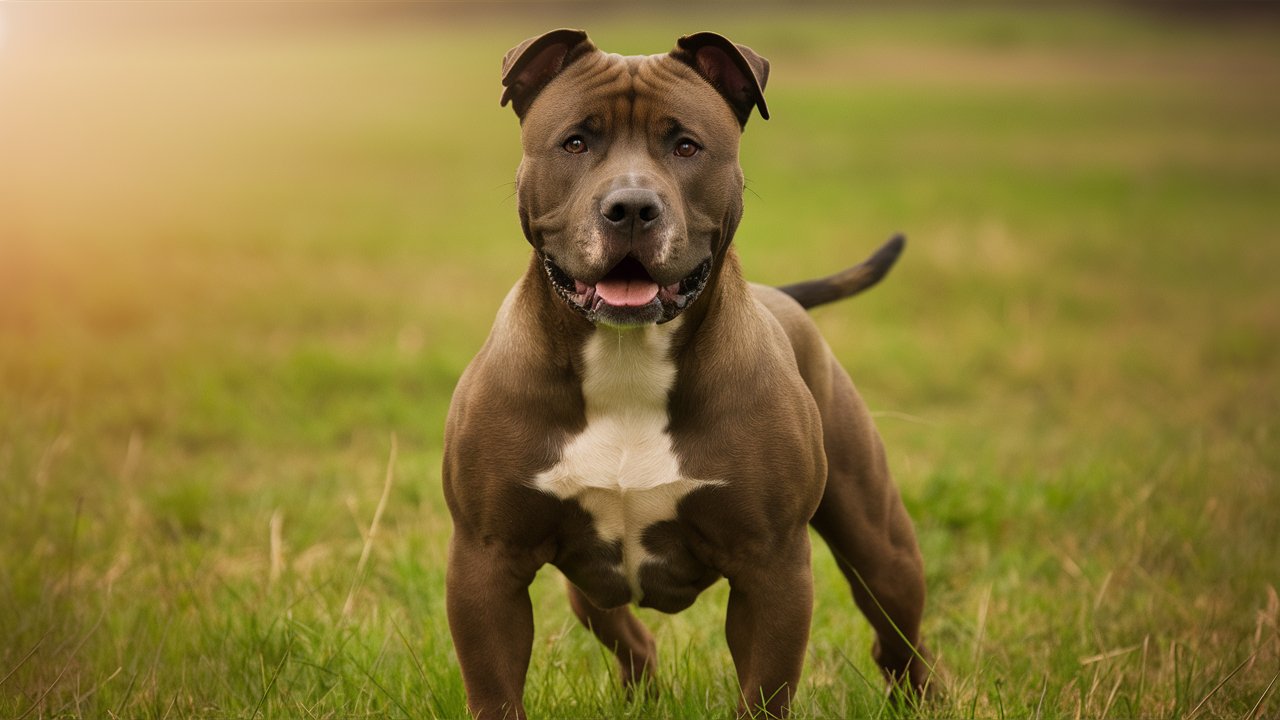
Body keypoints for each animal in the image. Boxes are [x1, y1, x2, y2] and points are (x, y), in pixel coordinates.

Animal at [445, 29, 936, 717]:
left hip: (878, 544)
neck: (627, 361)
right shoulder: (487, 562)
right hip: (588, 585)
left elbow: (765, 690)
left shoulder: (772, 568)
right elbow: (495, 690)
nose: (630, 206)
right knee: (630, 634)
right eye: (575, 142)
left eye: (686, 146)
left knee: (899, 637)